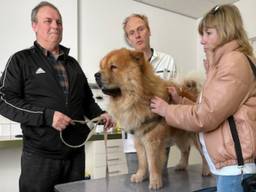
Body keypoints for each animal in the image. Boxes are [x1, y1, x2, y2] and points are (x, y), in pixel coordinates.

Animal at [94, 48, 210, 189]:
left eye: (113, 67)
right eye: (101, 67)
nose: (96, 75)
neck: (138, 97)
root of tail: (192, 95)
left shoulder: (152, 140)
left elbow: (153, 163)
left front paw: (155, 182)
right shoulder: (139, 139)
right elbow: (143, 162)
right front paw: (140, 176)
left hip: (195, 137)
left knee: (204, 155)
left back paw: (206, 170)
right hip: (179, 136)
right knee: (185, 150)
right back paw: (181, 165)